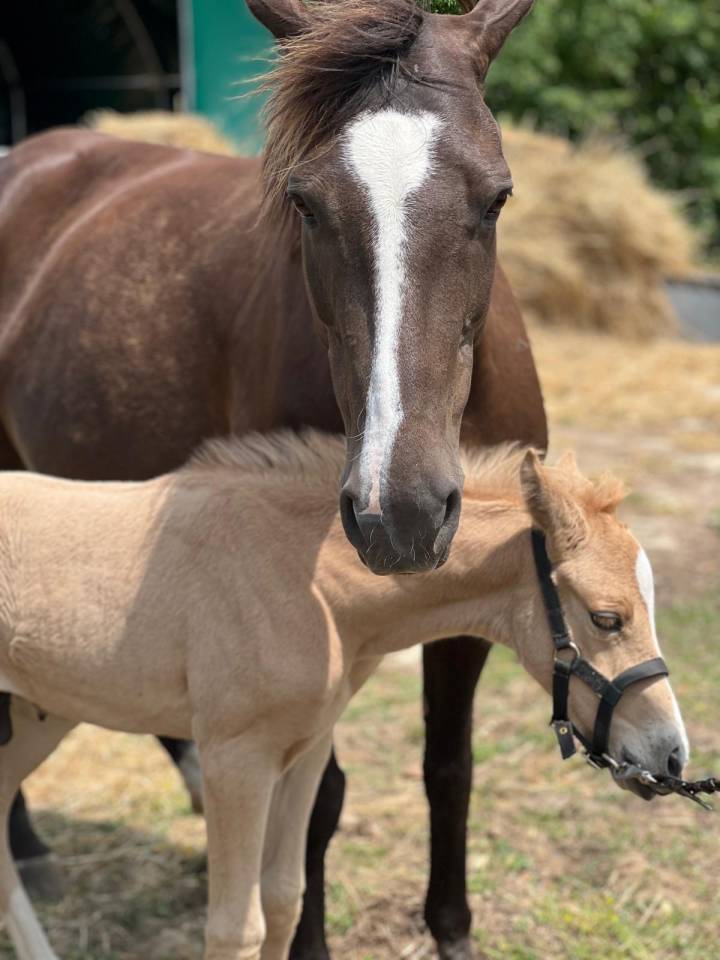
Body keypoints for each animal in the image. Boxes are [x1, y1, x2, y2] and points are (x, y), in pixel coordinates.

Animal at [0, 1, 547, 956]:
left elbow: (449, 765)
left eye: (496, 196)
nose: (399, 512)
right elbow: (318, 805)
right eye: (306, 203)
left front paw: (452, 929)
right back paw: (32, 846)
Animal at [0, 432, 689, 960]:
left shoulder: (303, 750)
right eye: (606, 618)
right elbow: (234, 928)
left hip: (36, 721)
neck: (311, 585)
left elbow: (284, 898)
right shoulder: (233, 759)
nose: (671, 755)